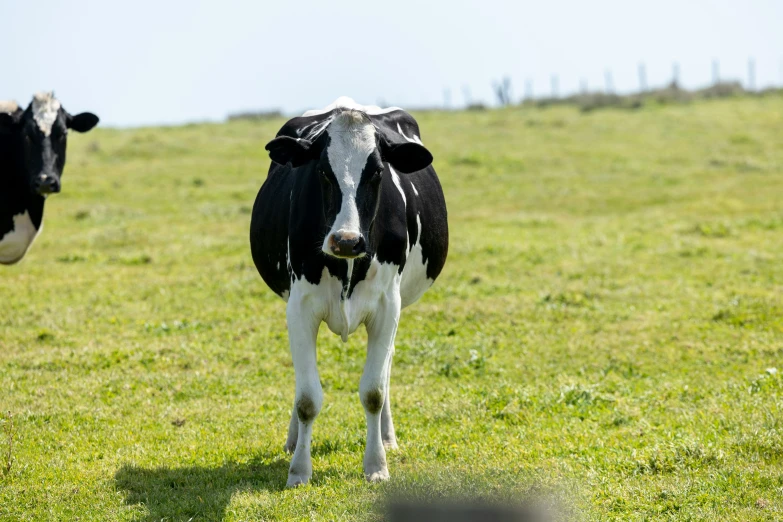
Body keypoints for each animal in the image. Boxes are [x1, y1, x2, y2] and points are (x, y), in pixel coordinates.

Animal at [248, 96, 450, 484]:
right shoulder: (299, 308)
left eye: (377, 172)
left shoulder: (388, 307)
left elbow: (374, 391)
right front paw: (299, 470)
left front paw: (377, 465)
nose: (345, 240)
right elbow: (307, 398)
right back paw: (292, 440)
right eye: (323, 172)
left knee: (385, 371)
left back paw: (387, 437)